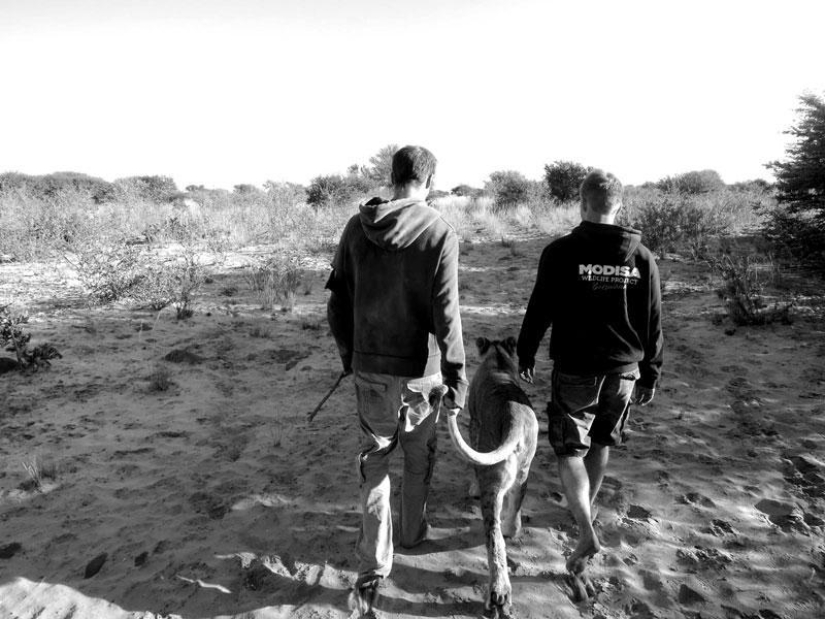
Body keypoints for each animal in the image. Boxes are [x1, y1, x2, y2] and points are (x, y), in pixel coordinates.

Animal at [443, 336, 539, 619]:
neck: (497, 358)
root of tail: (515, 420)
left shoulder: (474, 424)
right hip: (524, 470)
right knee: (515, 508)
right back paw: (511, 527)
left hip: (491, 481)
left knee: (494, 538)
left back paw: (499, 594)